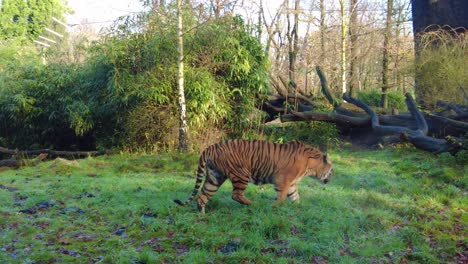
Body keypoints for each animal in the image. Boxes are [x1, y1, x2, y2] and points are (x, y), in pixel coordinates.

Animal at [175, 139, 332, 213]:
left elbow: (295, 197)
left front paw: (299, 209)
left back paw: (202, 214)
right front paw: (273, 208)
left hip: (215, 177)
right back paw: (254, 204)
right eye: (331, 170)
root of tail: (210, 147)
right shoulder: (283, 180)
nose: (330, 180)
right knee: (236, 195)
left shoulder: (292, 184)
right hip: (241, 174)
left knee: (202, 196)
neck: (310, 166)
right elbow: (281, 197)